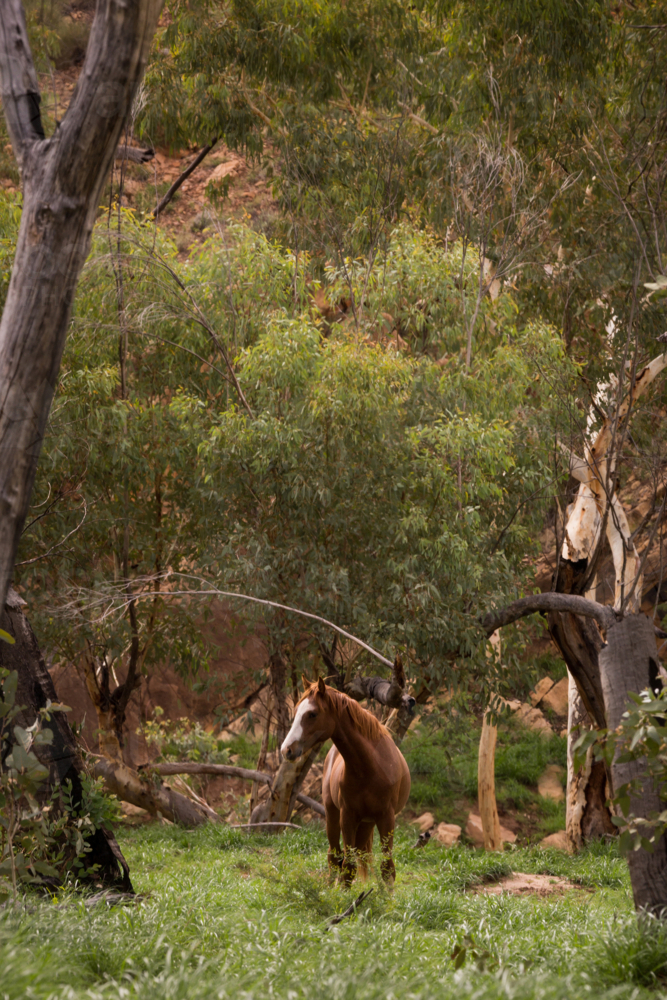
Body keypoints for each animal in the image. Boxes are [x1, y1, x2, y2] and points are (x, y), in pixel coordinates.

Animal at [281, 677, 411, 885]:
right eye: (297, 710)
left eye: (312, 714)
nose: (286, 750)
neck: (370, 768)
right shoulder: (347, 816)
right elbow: (348, 866)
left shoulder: (386, 818)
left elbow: (387, 869)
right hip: (333, 814)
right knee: (334, 856)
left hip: (367, 823)